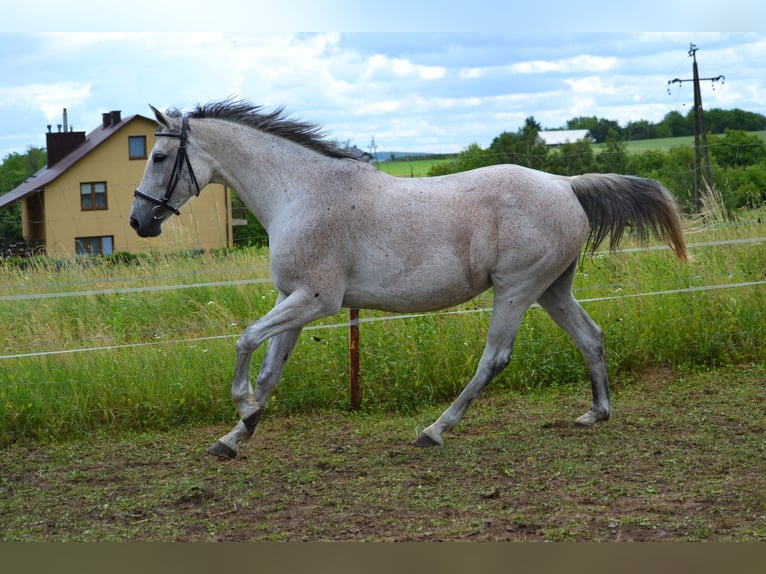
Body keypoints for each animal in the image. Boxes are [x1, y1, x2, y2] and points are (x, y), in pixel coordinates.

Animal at [132, 101, 688, 462]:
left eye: (158, 157)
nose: (139, 221)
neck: (301, 192)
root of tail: (565, 184)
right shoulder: (290, 299)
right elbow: (269, 369)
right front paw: (236, 435)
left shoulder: (316, 300)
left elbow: (245, 340)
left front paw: (244, 410)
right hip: (552, 290)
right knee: (591, 337)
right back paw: (596, 413)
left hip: (516, 290)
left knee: (495, 359)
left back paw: (434, 431)